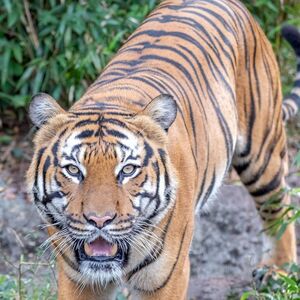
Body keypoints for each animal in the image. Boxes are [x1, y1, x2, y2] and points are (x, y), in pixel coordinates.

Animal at [27, 0, 298, 298]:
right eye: (73, 170)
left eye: (128, 170)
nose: (99, 221)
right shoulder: (77, 278)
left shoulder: (165, 277)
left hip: (262, 153)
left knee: (279, 206)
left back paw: (278, 272)